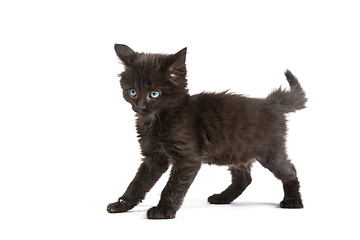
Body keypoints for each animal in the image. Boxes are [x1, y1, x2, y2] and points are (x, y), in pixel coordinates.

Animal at [107, 44, 306, 218]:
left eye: (154, 94)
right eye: (132, 92)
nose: (139, 107)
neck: (158, 120)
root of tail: (272, 103)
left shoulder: (187, 157)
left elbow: (172, 186)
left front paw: (163, 210)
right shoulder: (154, 157)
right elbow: (137, 183)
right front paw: (122, 204)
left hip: (269, 152)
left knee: (290, 170)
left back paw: (293, 200)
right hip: (236, 151)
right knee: (244, 178)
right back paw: (223, 198)